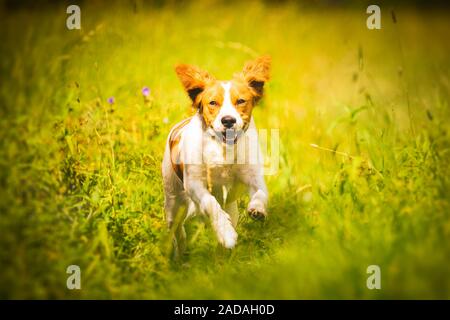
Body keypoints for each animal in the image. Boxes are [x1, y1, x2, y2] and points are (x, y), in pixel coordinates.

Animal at [163, 55, 270, 255]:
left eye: (241, 101)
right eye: (213, 103)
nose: (228, 120)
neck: (223, 148)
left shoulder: (252, 175)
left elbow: (261, 192)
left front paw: (257, 208)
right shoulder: (194, 183)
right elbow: (211, 203)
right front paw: (226, 234)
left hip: (231, 207)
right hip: (173, 202)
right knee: (177, 229)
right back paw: (180, 253)